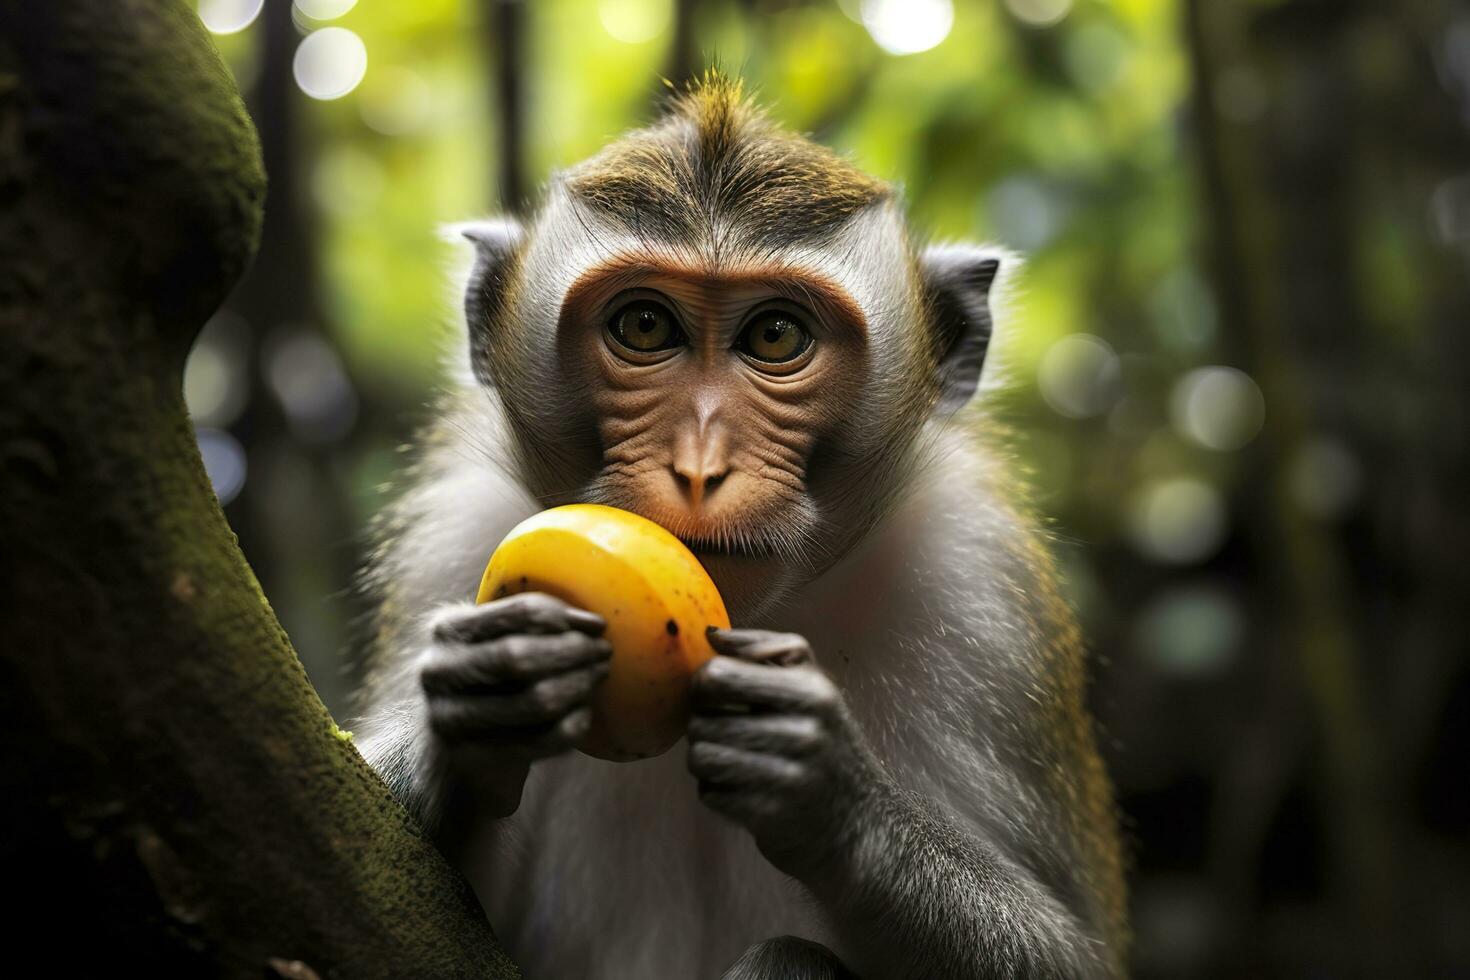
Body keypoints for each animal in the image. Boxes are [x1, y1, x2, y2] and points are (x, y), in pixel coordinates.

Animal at [352, 70, 1123, 980]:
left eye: (777, 334)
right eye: (644, 325)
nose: (699, 467)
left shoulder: (981, 590)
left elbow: (1072, 955)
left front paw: (837, 797)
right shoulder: (456, 534)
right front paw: (474, 704)